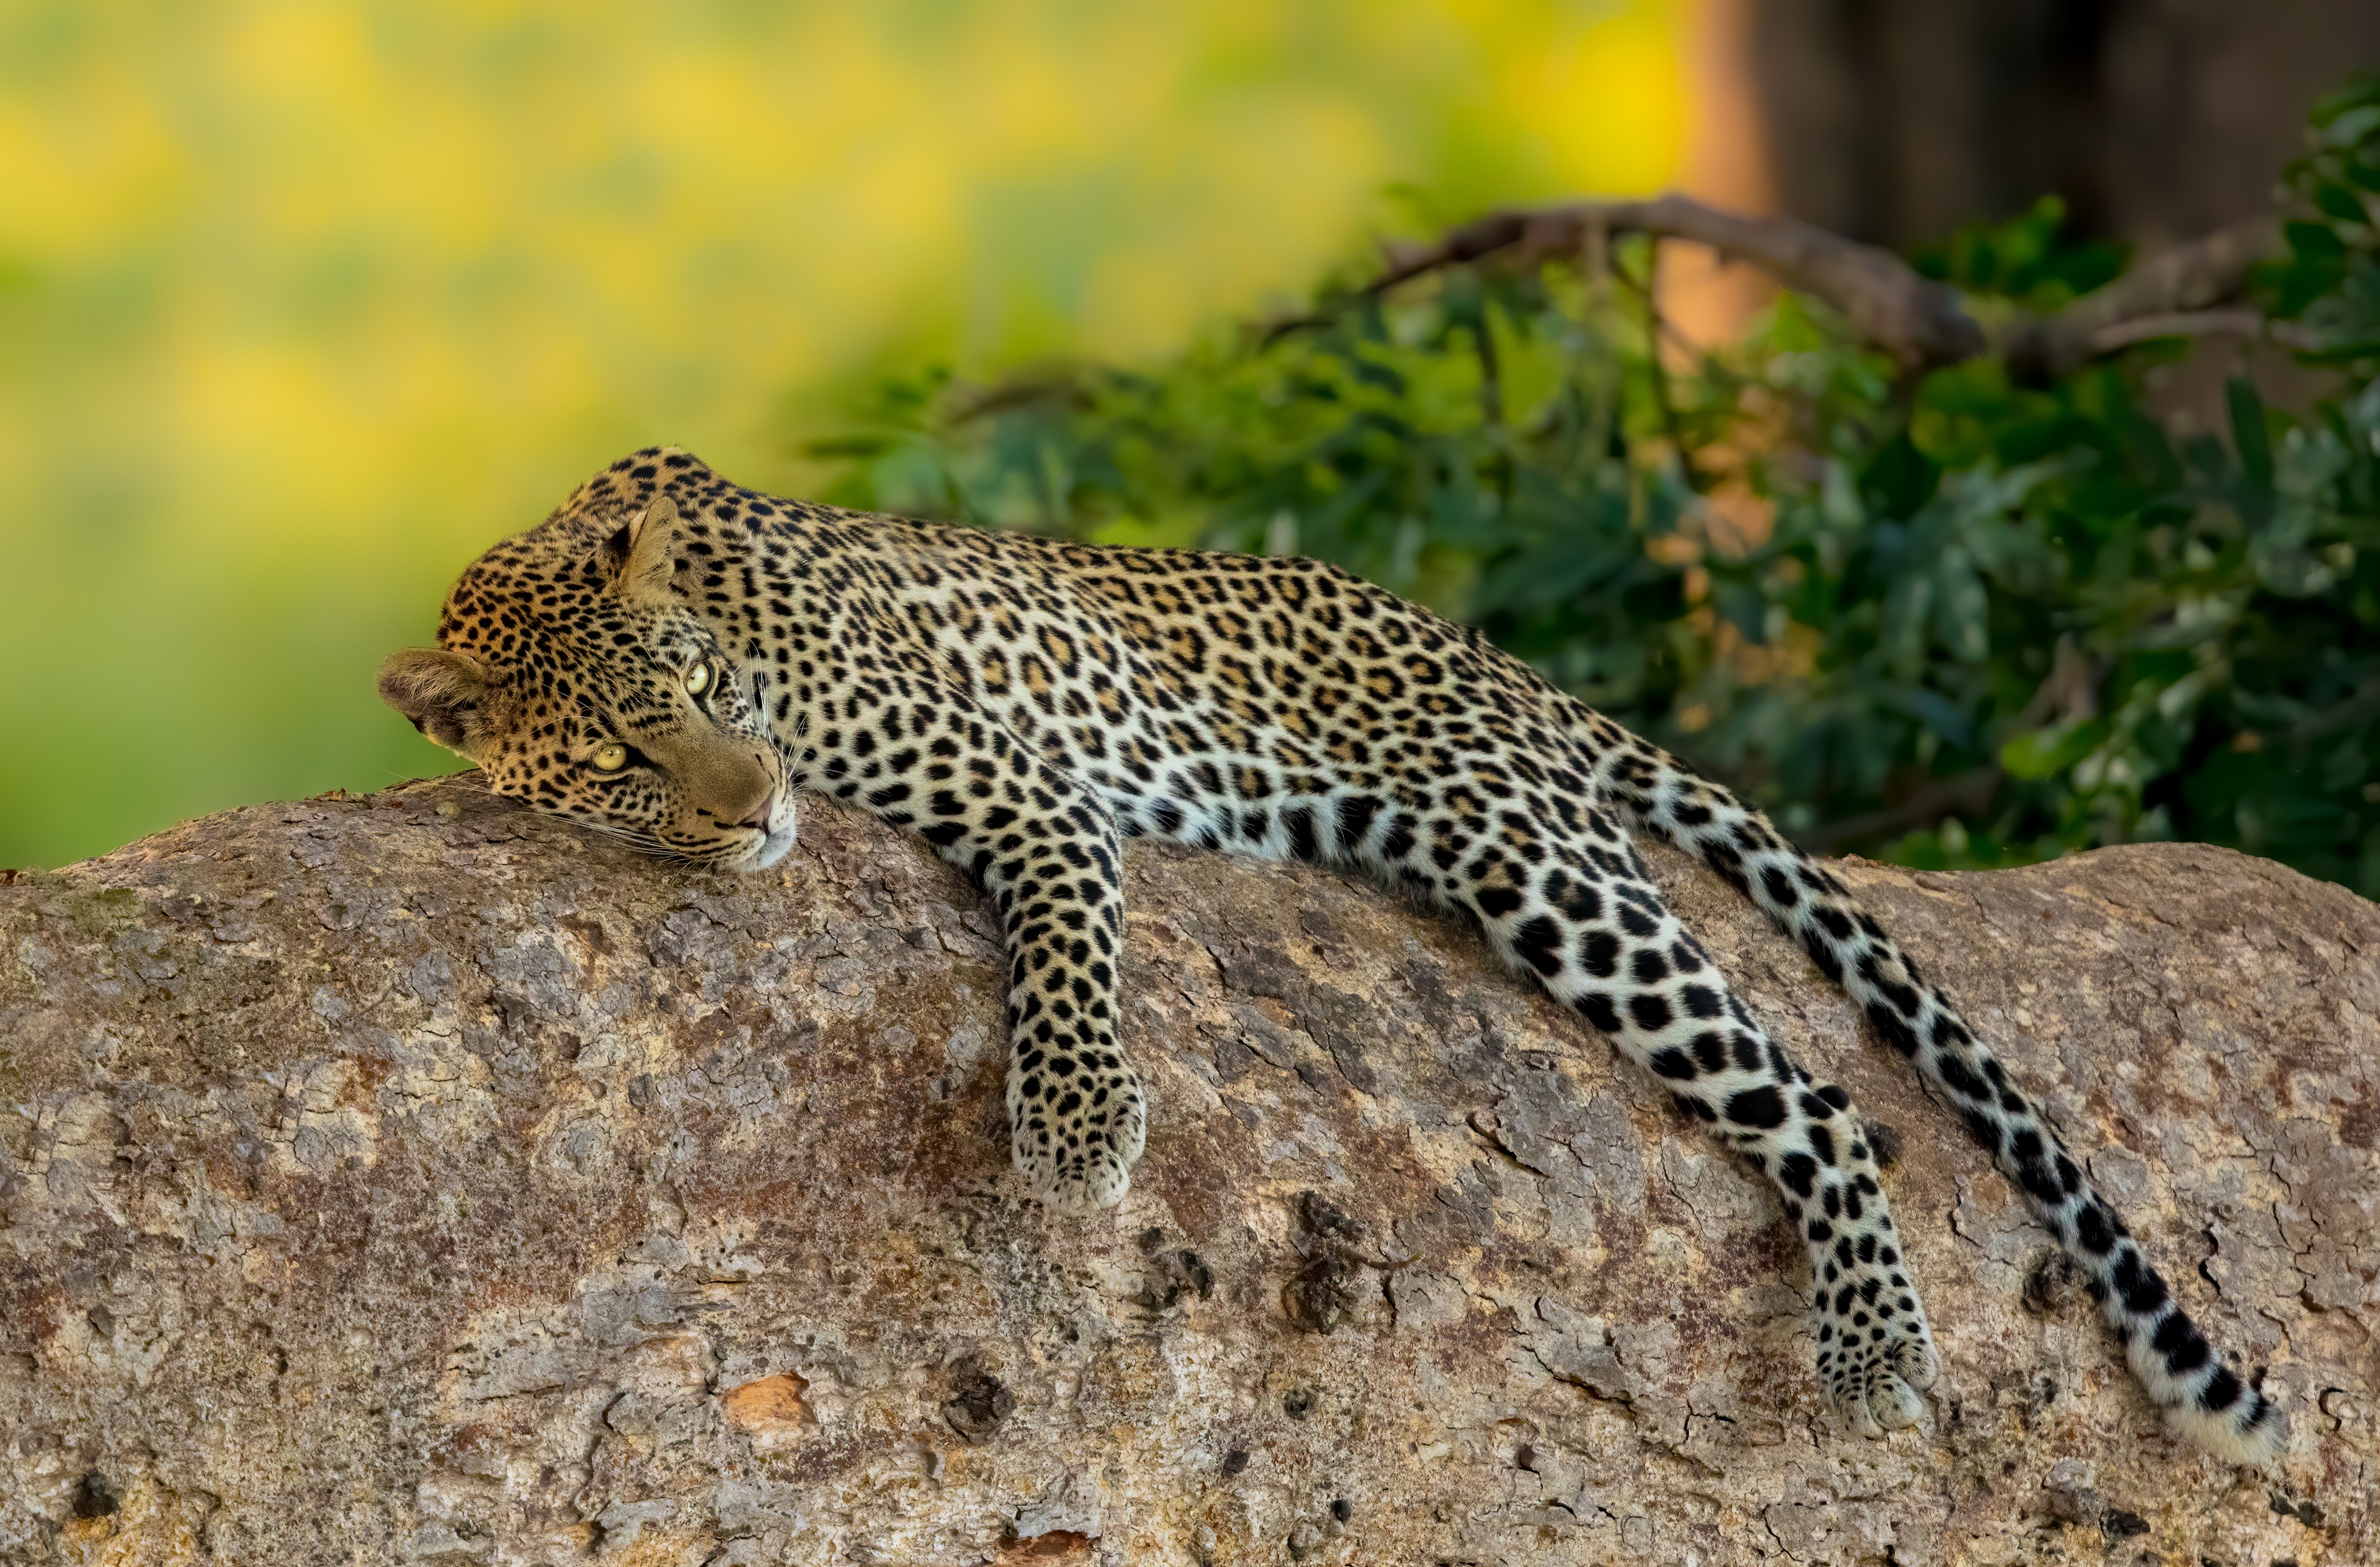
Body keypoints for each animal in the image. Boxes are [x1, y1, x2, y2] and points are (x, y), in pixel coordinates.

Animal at [386, 443, 2285, 1466]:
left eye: (703, 687)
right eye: (622, 753)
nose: (764, 805)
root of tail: (1511, 669)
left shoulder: (1022, 790)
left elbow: (1063, 952)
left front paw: (1077, 1130)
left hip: (1531, 857)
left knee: (1818, 1098)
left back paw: (1876, 1349)